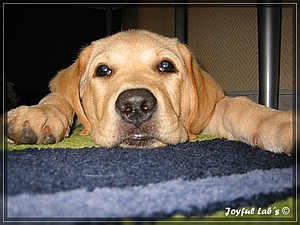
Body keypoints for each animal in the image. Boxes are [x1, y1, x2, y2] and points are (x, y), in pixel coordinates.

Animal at [7, 29, 292, 154]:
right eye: (102, 70)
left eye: (166, 66)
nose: (135, 105)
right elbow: (59, 97)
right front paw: (37, 115)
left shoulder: (200, 115)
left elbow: (236, 105)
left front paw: (279, 122)